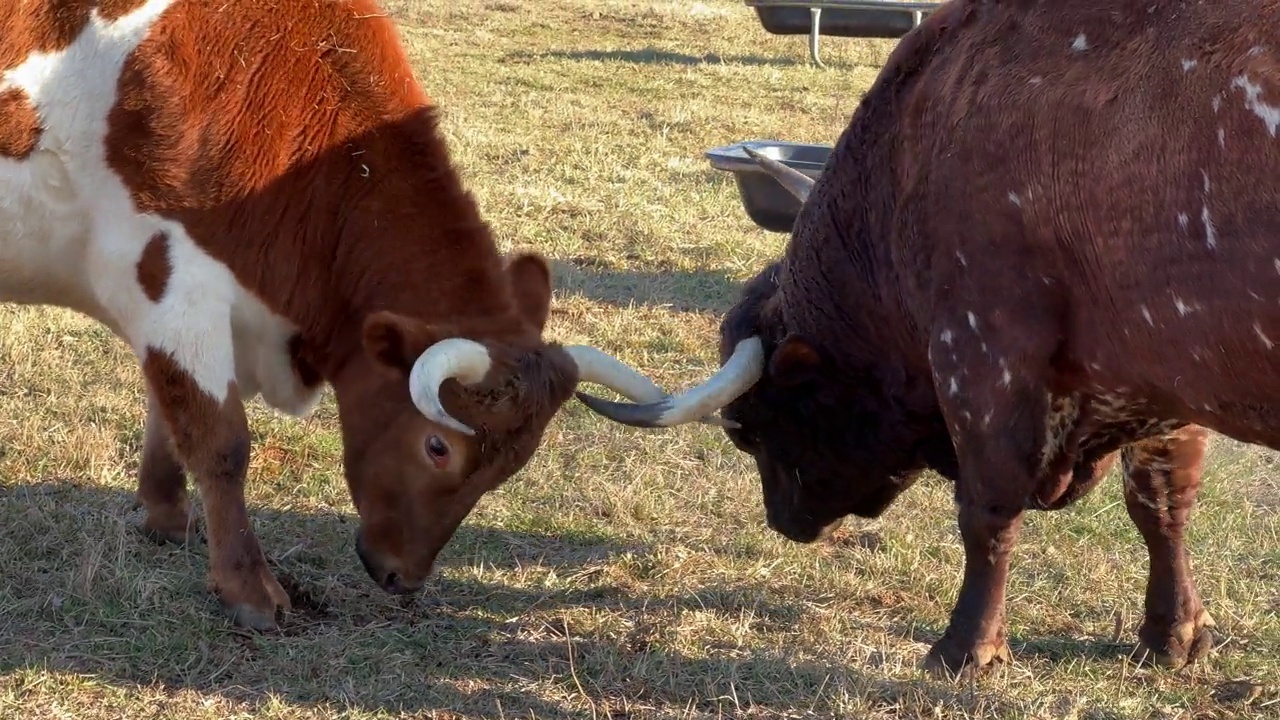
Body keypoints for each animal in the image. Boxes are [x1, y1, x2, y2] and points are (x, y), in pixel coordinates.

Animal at [0, 0, 675, 627]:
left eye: (516, 462)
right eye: (437, 447)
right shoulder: (173, 283)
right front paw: (248, 589)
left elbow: (167, 418)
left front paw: (166, 518)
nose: (403, 577)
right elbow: (221, 443)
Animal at [578, 0, 1280, 671]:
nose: (781, 521)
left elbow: (986, 513)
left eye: (748, 430)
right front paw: (1172, 634)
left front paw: (966, 647)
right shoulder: (1165, 383)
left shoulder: (982, 358)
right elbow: (1161, 506)